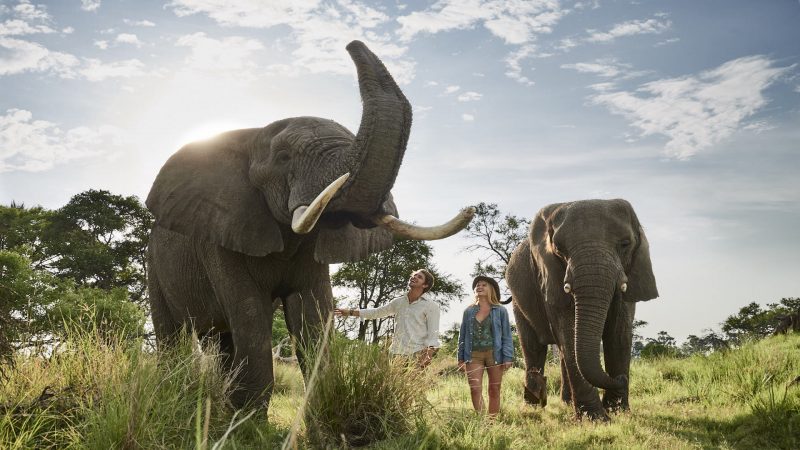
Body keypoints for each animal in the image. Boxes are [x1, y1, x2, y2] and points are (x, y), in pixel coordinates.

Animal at [146, 41, 472, 408]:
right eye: (284, 157)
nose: (351, 44)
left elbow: (312, 315)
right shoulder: (220, 236)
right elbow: (250, 313)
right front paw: (247, 421)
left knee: (222, 339)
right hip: (153, 264)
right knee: (172, 335)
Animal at [506, 199, 656, 420]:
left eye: (625, 244)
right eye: (559, 249)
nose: (621, 378)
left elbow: (619, 334)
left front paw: (618, 412)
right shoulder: (550, 279)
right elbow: (569, 333)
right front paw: (595, 419)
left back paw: (567, 403)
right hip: (519, 301)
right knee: (533, 347)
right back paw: (532, 407)